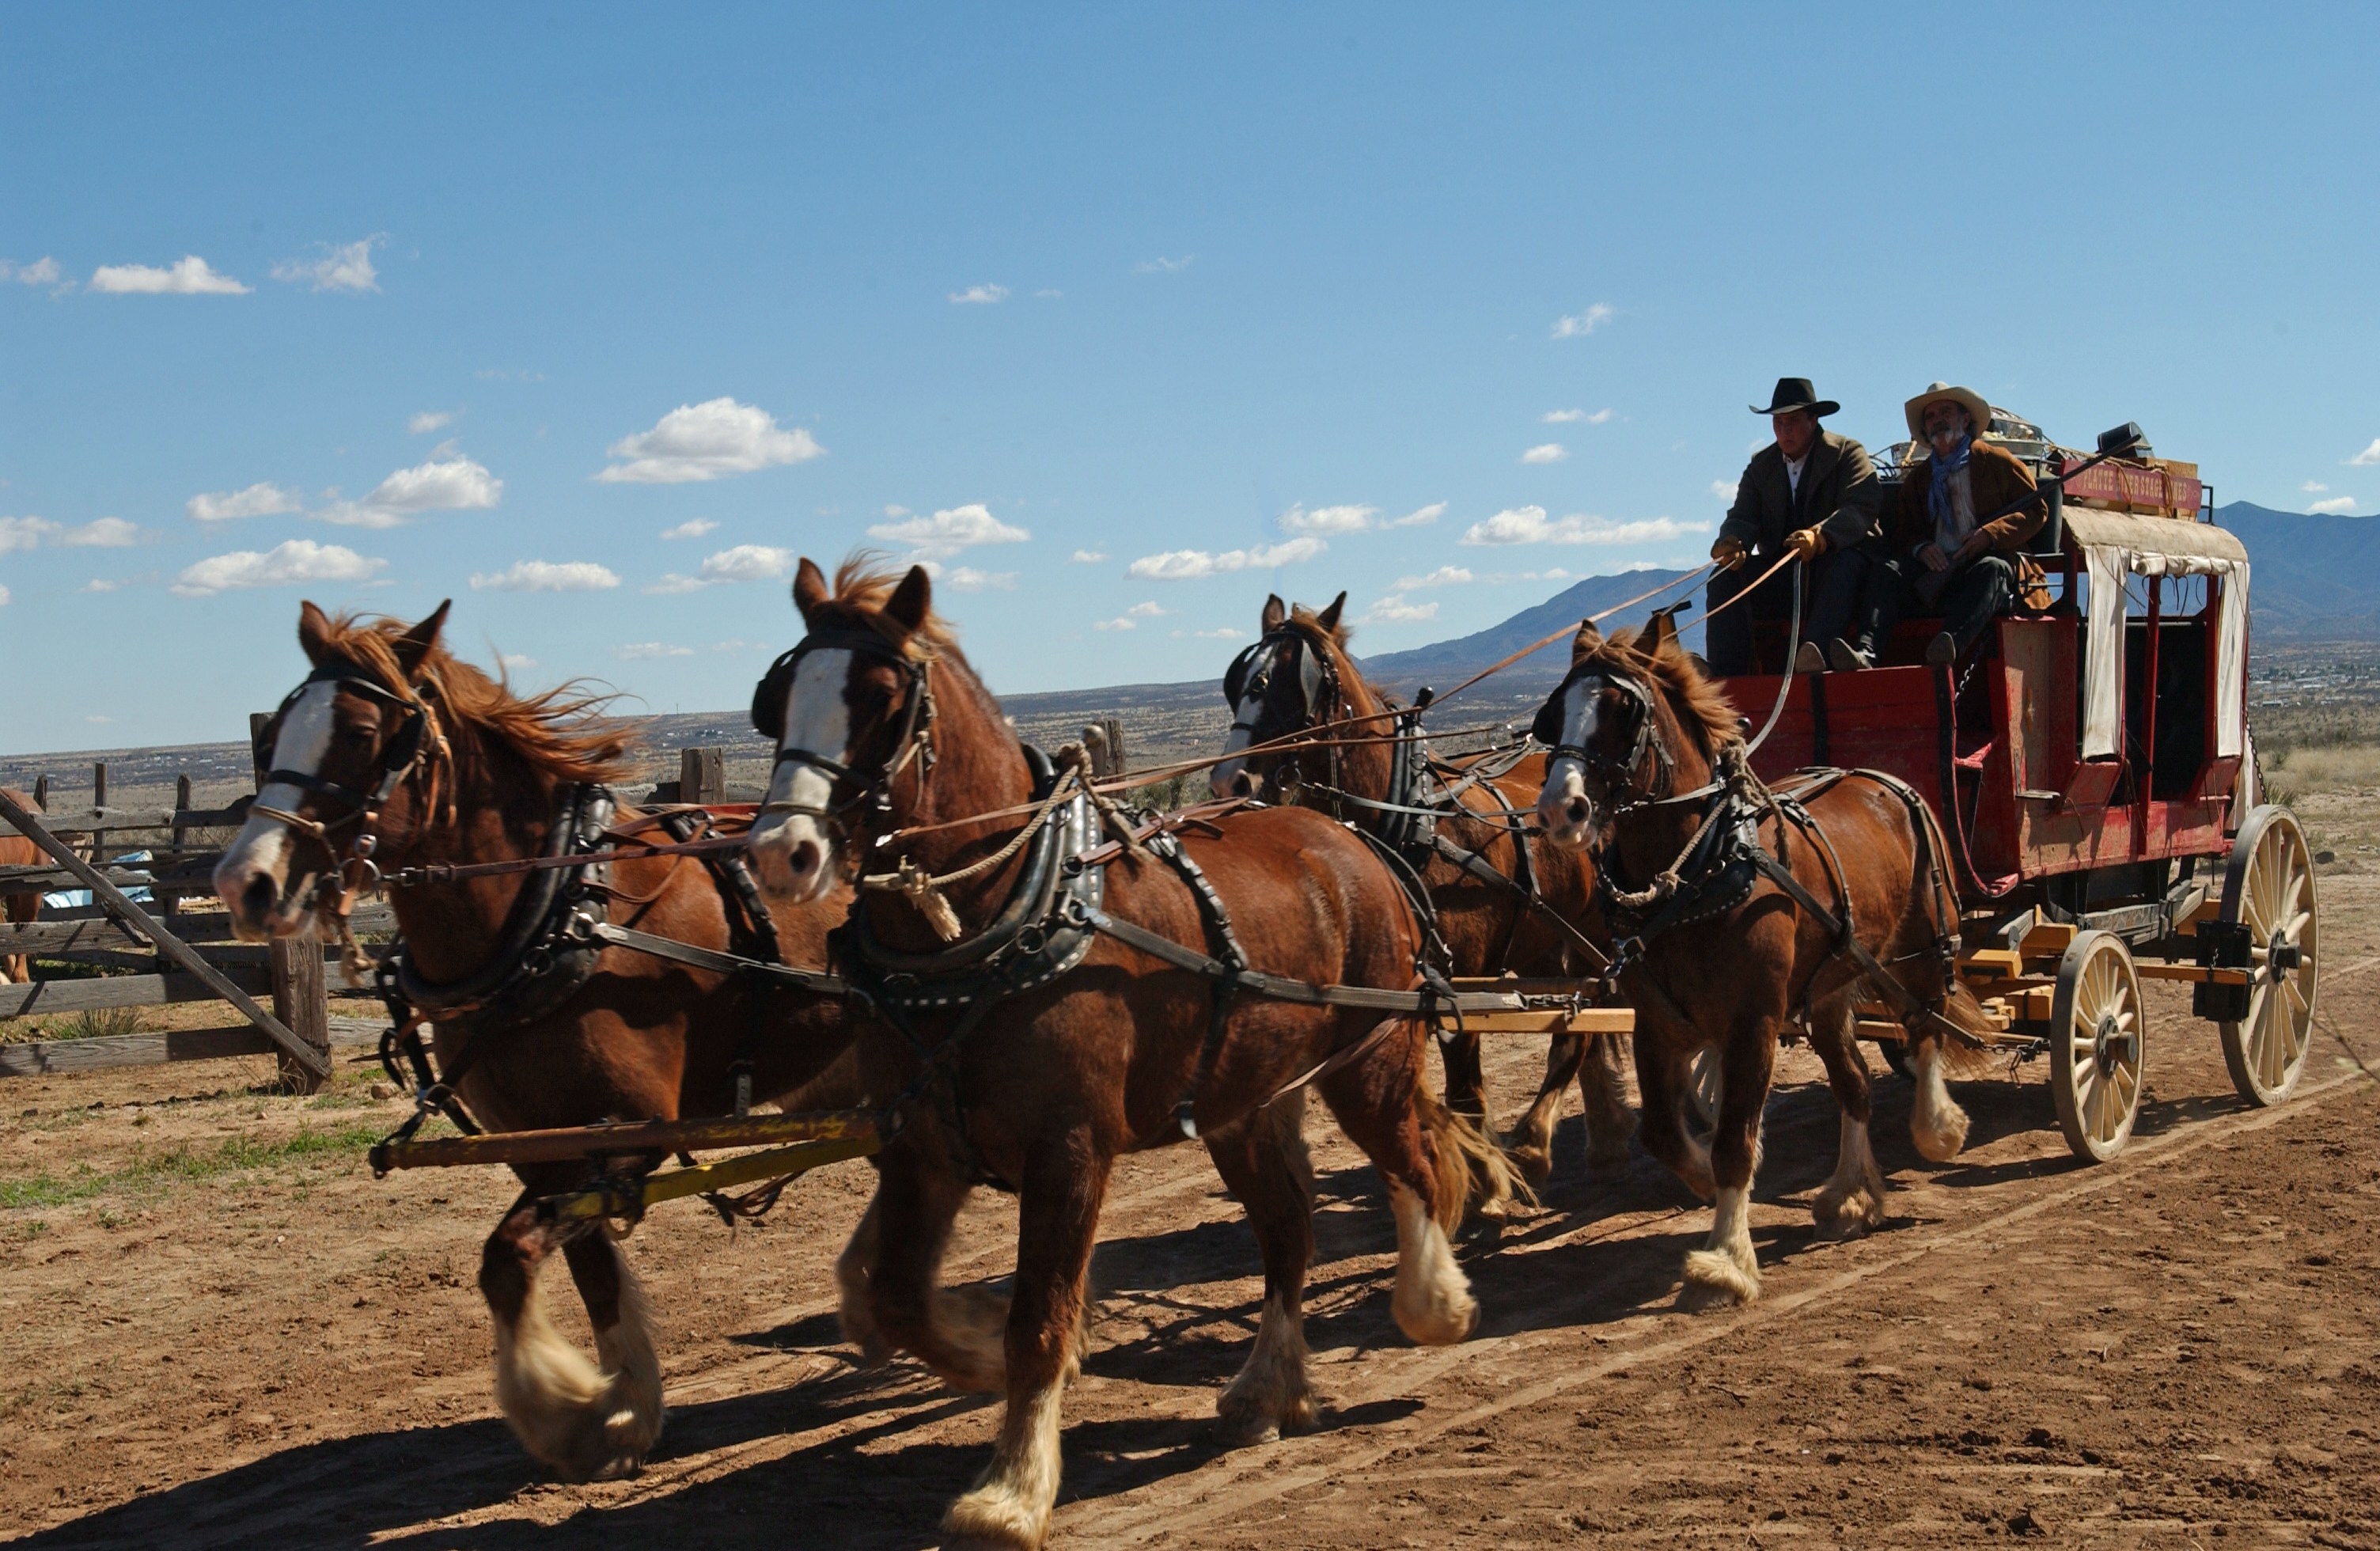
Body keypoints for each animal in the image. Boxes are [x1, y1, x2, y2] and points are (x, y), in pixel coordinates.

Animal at [214, 601, 875, 1474]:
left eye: (358, 731)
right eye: (278, 732)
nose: (245, 881)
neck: (559, 915)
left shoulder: (627, 1134)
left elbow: (511, 1254)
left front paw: (558, 1405)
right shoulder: (544, 1144)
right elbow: (577, 1271)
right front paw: (618, 1413)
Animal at [752, 561, 1514, 1551]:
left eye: (879, 698)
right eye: (773, 701)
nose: (781, 850)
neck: (999, 920)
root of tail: (1352, 841)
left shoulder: (1070, 1149)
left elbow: (1040, 1317)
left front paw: (1012, 1488)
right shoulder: (920, 1147)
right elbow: (896, 1295)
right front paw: (972, 1347)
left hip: (1368, 1065)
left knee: (1414, 1164)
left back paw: (1435, 1306)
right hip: (1241, 1102)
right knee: (1287, 1225)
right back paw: (1268, 1384)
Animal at [1209, 594, 1637, 1189]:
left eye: (1296, 683)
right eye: (1238, 679)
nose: (1229, 782)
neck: (1409, 821)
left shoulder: (1464, 978)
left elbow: (1466, 1090)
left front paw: (1488, 1181)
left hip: (1596, 932)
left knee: (1583, 1031)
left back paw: (1536, 1143)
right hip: (1551, 939)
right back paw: (1597, 1139)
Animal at [1523, 613, 1989, 1313]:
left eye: (1624, 711)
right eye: (1554, 713)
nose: (1560, 808)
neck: (1699, 872)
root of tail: (1883, 780)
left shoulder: (1755, 1022)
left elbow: (1735, 1141)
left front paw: (1725, 1261)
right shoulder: (1657, 1021)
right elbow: (1666, 1134)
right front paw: (1702, 1187)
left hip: (1923, 947)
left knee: (1927, 1023)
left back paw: (1937, 1127)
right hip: (1828, 992)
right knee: (1854, 1080)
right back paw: (1851, 1195)